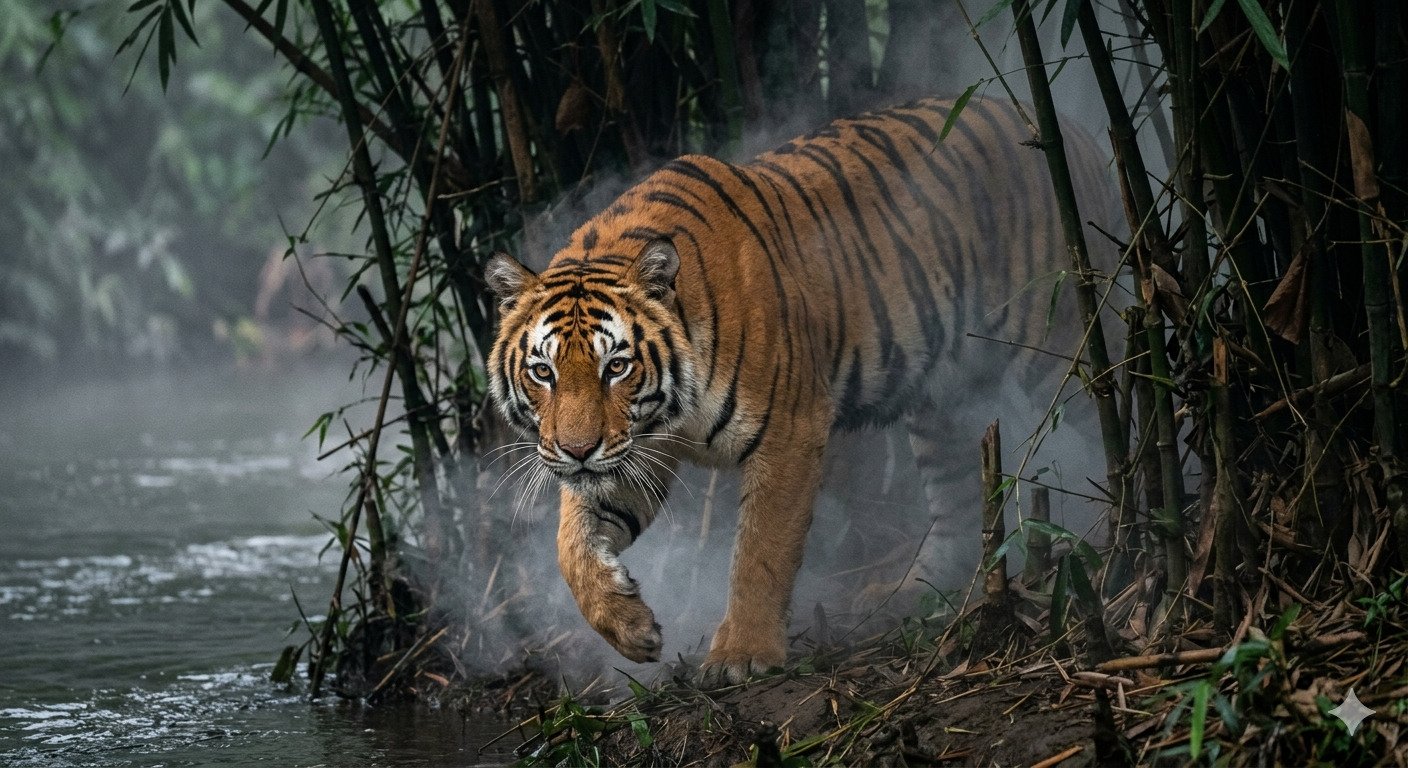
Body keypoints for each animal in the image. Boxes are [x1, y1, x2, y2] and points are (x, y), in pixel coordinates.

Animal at [485, 96, 1114, 686]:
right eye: (544, 373)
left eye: (615, 366)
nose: (576, 451)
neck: (669, 410)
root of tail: (1068, 130)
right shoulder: (638, 450)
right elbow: (572, 546)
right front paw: (629, 627)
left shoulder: (788, 428)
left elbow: (761, 551)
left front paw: (741, 654)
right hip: (941, 400)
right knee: (958, 503)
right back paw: (914, 592)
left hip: (1058, 344)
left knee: (1108, 415)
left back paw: (1111, 539)